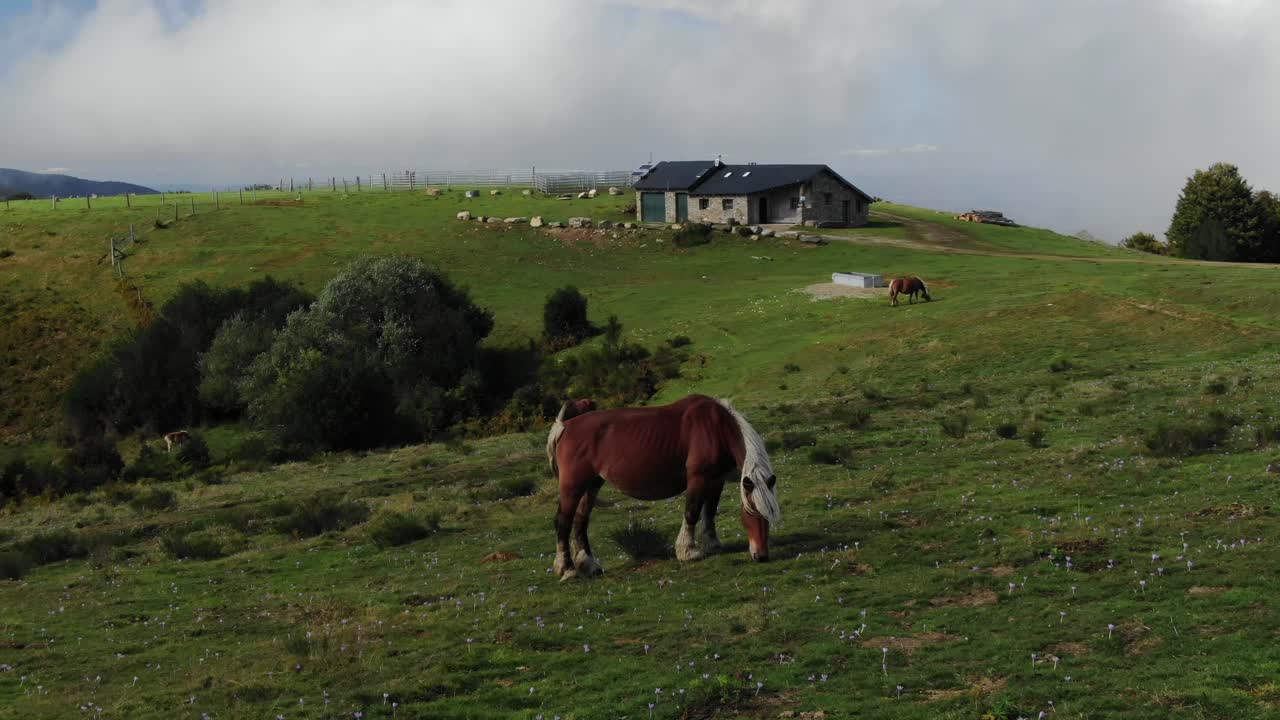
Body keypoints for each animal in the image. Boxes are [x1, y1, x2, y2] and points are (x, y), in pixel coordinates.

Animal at [545, 394, 781, 580]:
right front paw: (688, 551)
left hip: (591, 486)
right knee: (563, 522)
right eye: (751, 512)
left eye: (769, 514)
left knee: (580, 522)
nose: (761, 556)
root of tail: (565, 426)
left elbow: (710, 512)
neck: (716, 427)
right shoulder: (698, 479)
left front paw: (713, 544)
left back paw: (590, 565)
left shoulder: (716, 480)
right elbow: (692, 512)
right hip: (572, 487)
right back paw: (567, 569)